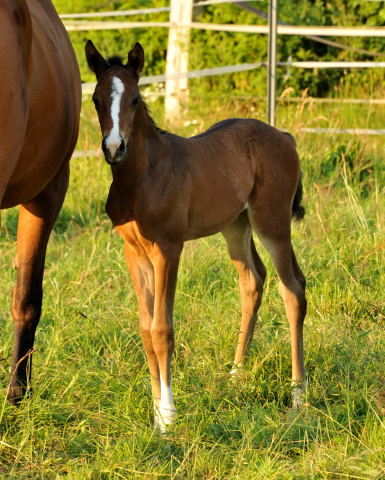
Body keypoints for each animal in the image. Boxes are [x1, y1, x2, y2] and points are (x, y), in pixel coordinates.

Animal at [86, 41, 306, 432]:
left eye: (135, 100)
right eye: (96, 100)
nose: (114, 147)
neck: (142, 178)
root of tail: (284, 136)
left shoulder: (168, 249)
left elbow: (162, 329)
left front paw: (169, 416)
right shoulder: (133, 252)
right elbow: (145, 328)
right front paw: (157, 414)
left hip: (272, 222)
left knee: (292, 288)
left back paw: (297, 396)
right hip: (236, 225)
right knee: (254, 280)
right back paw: (236, 375)